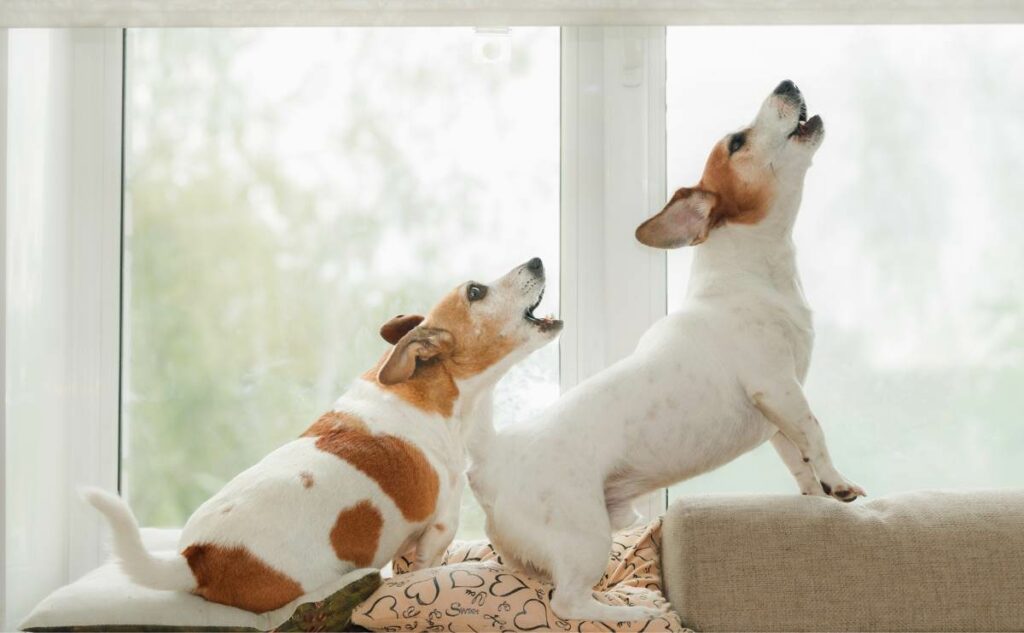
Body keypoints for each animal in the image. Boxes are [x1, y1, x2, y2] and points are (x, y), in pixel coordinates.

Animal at [81, 256, 561, 610]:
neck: (435, 390)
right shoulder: (441, 526)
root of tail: (198, 557)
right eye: (476, 291)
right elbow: (425, 568)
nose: (537, 260)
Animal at [468, 81, 864, 618]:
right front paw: (839, 483)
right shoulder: (778, 387)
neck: (754, 273)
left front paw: (815, 496)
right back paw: (634, 611)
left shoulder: (778, 412)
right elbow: (816, 436)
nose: (786, 84)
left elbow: (797, 456)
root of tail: (492, 458)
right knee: (569, 603)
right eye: (737, 142)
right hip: (586, 537)